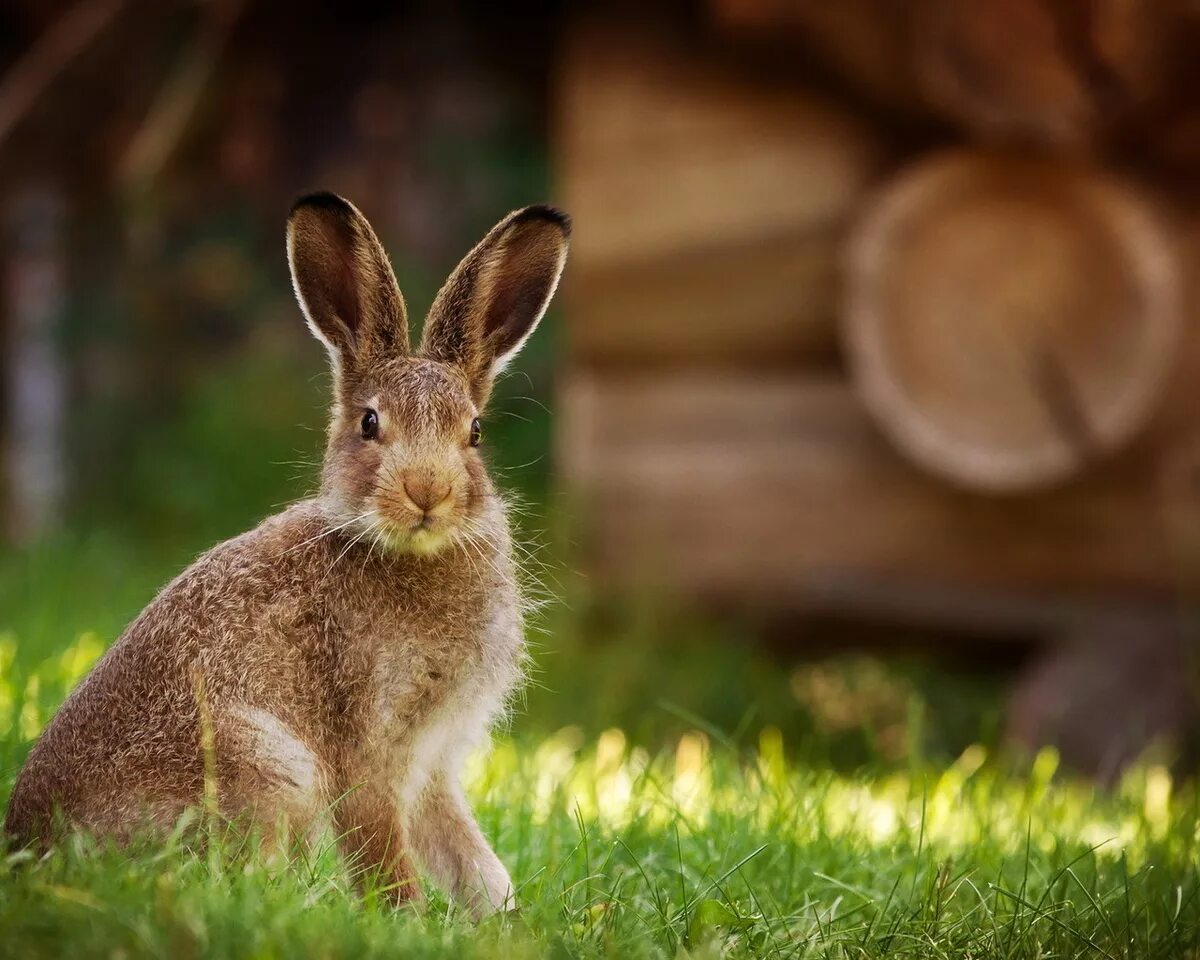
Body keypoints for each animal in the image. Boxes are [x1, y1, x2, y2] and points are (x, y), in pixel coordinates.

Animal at [3, 193, 571, 916]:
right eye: (369, 424)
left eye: (474, 432)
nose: (428, 492)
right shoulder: (368, 747)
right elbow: (382, 847)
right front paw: (404, 919)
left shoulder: (434, 762)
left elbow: (466, 853)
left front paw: (500, 917)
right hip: (269, 765)